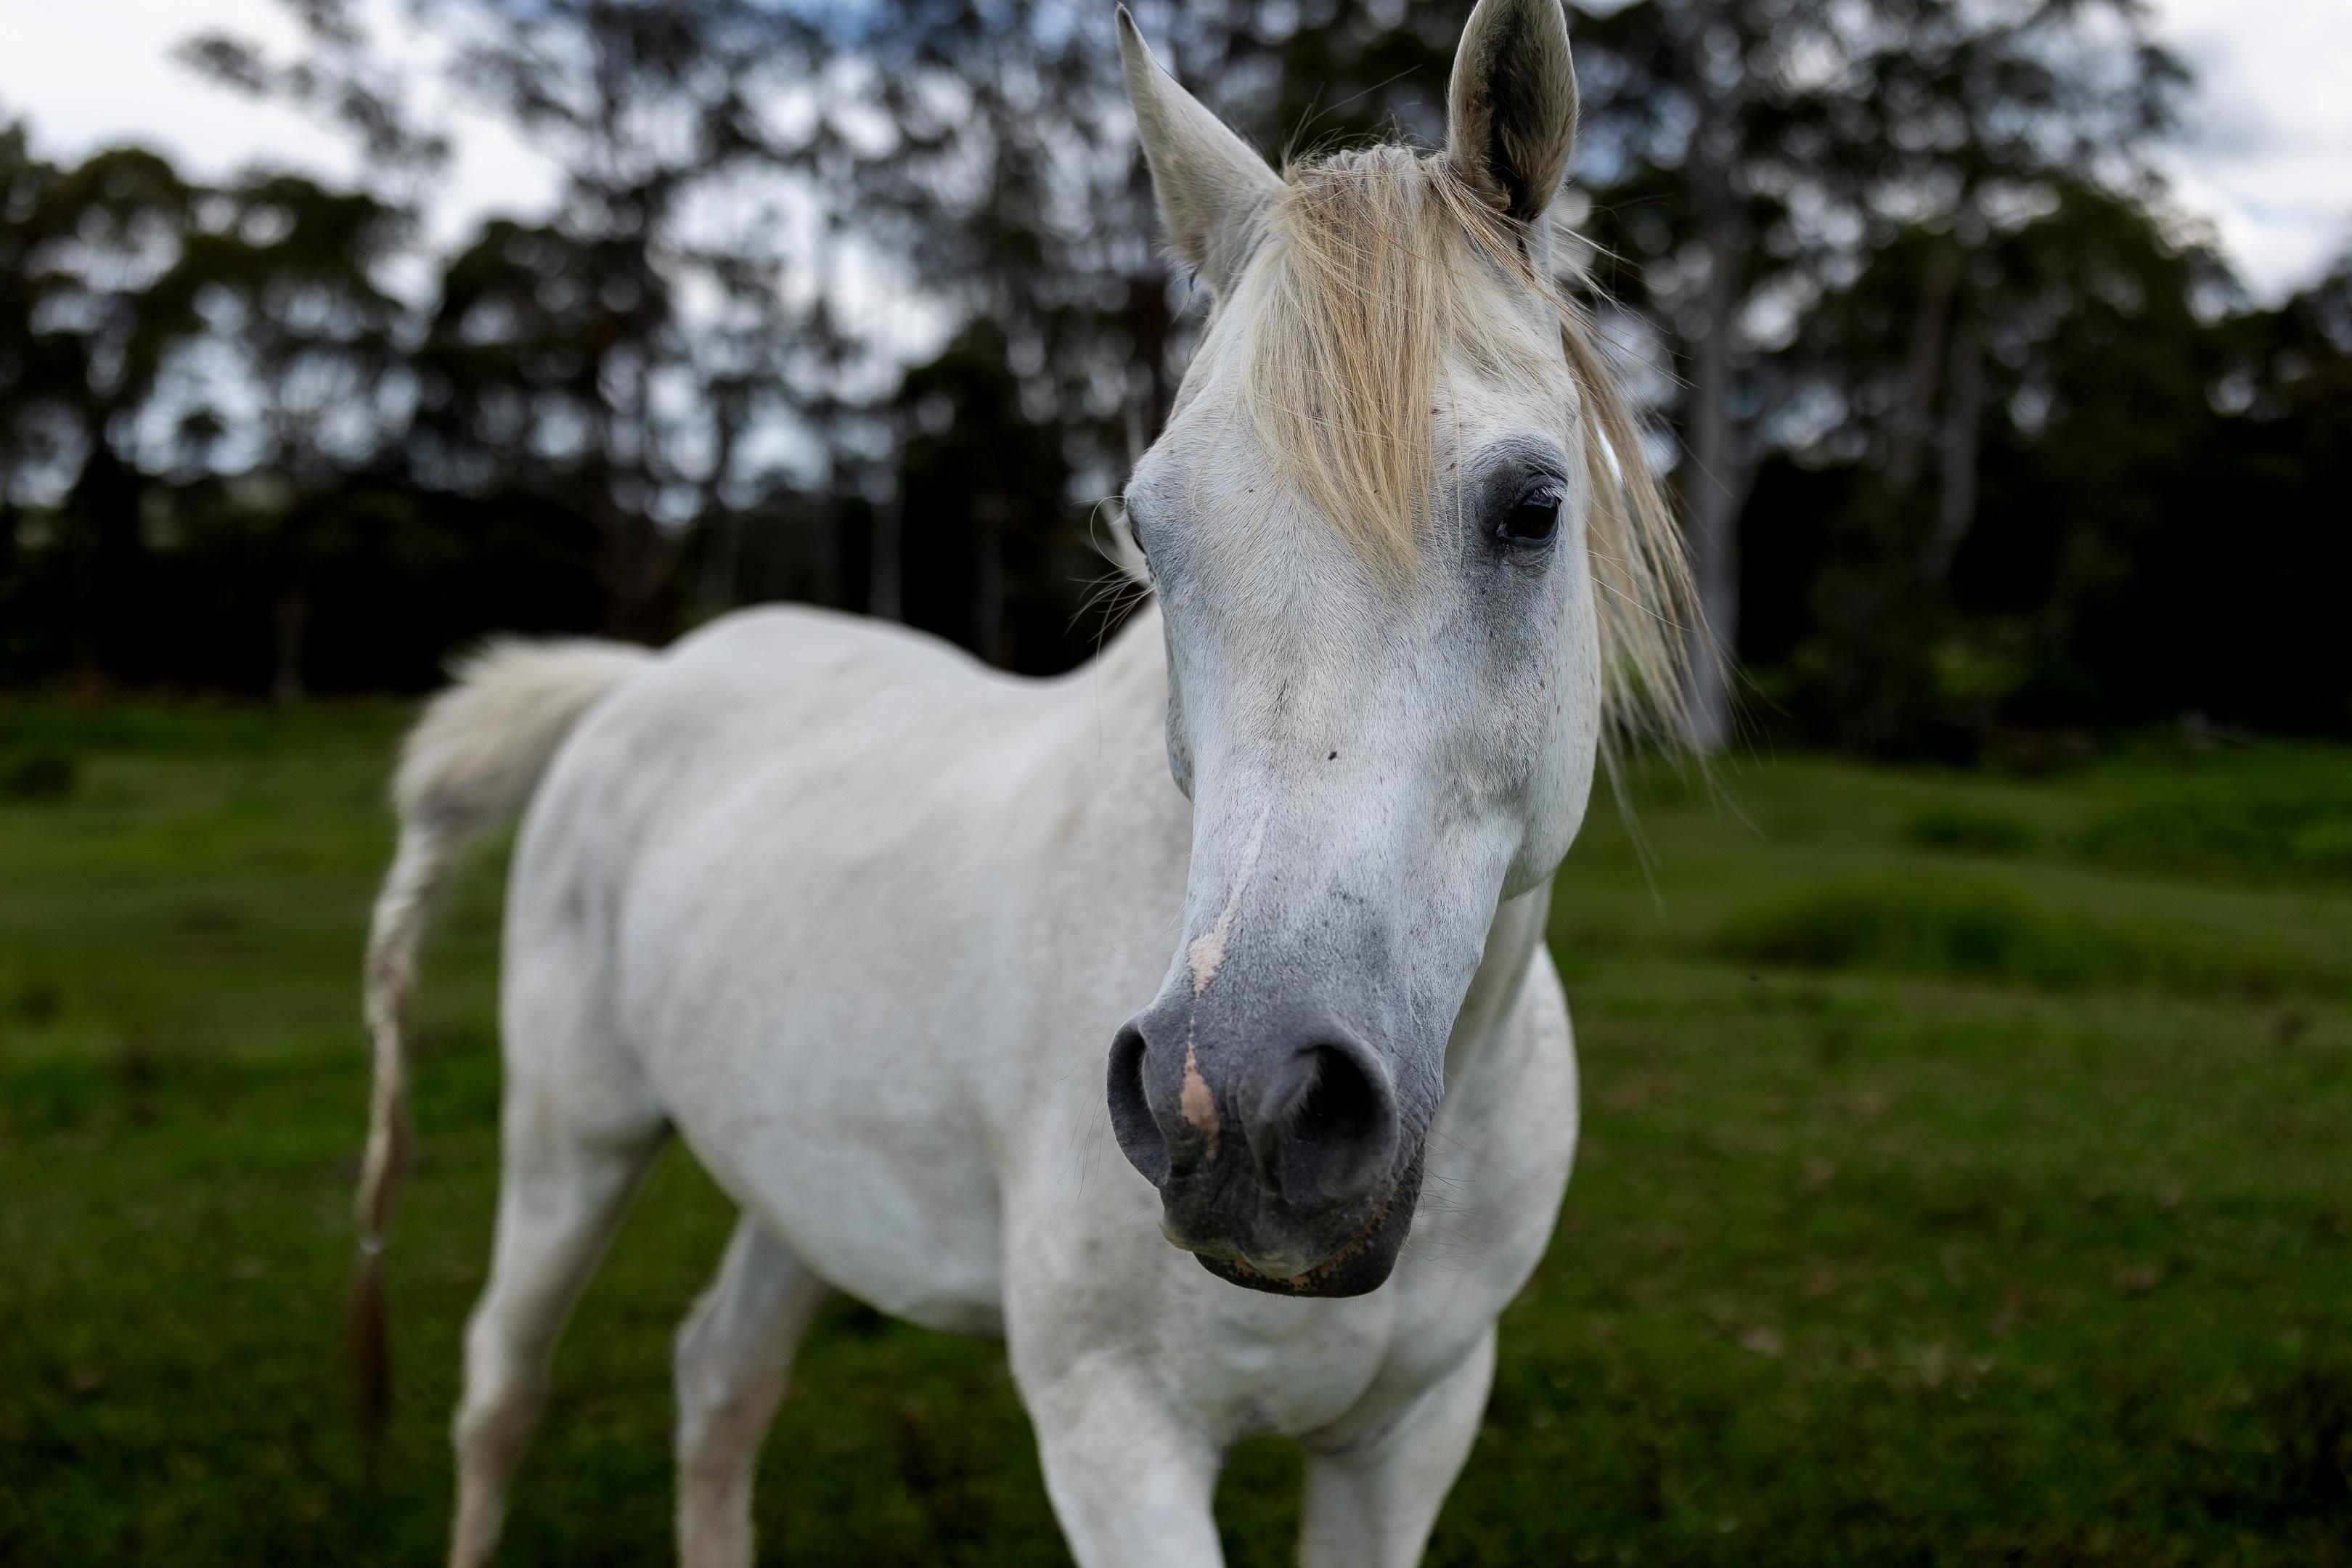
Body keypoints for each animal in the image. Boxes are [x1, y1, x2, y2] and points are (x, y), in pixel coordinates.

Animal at [351, 3, 1698, 1562]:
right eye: (1150, 527)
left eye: (1534, 509)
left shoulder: (1408, 1436)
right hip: (572, 1140)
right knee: (502, 1392)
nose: (1245, 1109)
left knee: (720, 1378)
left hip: (801, 1183)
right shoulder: (1117, 1436)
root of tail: (641, 681)